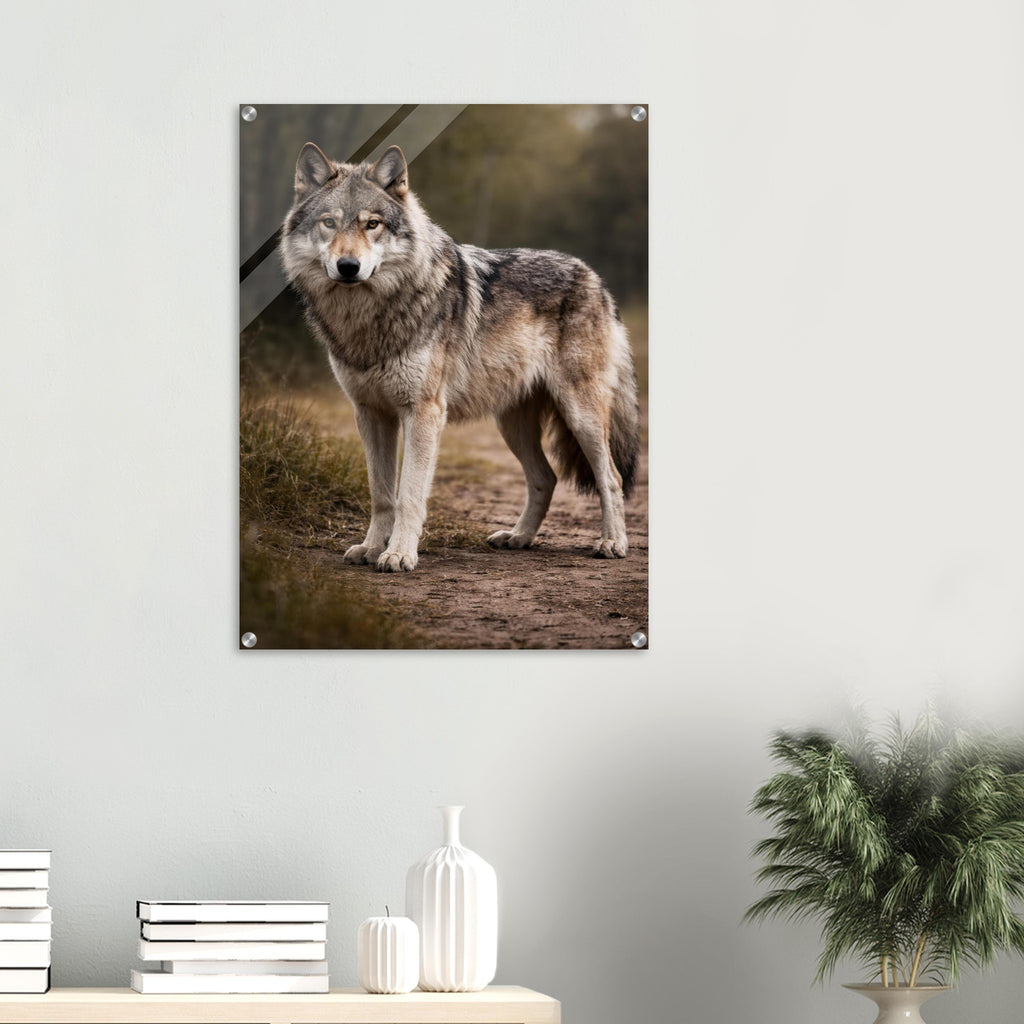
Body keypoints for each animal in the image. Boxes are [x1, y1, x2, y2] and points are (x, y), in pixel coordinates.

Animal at [280, 142, 640, 573]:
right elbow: (381, 494)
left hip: (580, 415)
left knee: (611, 478)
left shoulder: (424, 413)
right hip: (512, 425)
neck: (369, 316)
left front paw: (399, 554)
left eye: (372, 224)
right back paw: (518, 537)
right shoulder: (369, 413)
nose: (348, 267)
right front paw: (370, 548)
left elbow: (409, 495)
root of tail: (594, 278)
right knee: (546, 478)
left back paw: (612, 542)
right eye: (329, 223)